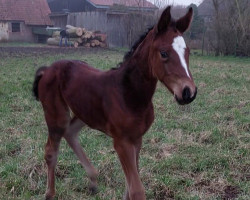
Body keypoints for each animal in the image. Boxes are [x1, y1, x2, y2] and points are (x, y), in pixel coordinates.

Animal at [32, 6, 197, 200]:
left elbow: (129, 186)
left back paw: (93, 180)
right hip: (56, 114)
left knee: (70, 132)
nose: (188, 92)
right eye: (163, 53)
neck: (129, 94)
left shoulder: (137, 139)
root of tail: (47, 69)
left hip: (85, 112)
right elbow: (136, 190)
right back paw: (50, 193)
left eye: (187, 52)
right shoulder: (121, 142)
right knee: (51, 151)